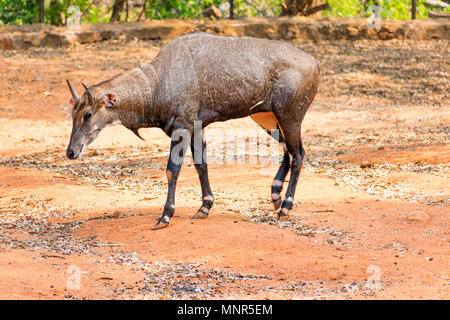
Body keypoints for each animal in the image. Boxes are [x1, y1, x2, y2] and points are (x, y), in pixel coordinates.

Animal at [67, 31, 320, 229]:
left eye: (88, 114)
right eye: (72, 113)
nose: (71, 152)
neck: (158, 83)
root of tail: (315, 64)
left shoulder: (182, 126)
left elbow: (172, 170)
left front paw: (165, 216)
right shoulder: (196, 127)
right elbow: (201, 164)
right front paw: (205, 206)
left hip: (289, 116)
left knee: (298, 154)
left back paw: (285, 206)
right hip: (266, 119)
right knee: (289, 151)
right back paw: (275, 194)